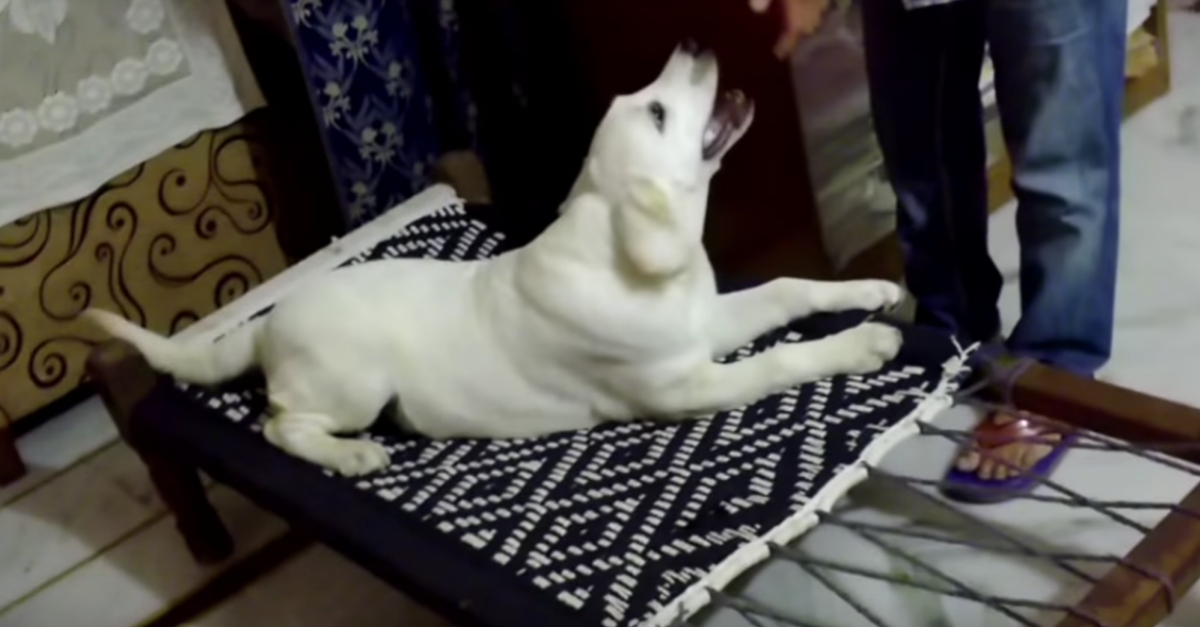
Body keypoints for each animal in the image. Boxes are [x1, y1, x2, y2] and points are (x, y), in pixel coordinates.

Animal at [87, 41, 904, 477]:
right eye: (658, 112)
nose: (694, 48)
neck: (638, 266)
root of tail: (263, 323)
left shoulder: (709, 324)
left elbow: (790, 286)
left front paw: (872, 288)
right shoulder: (686, 383)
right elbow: (781, 359)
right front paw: (864, 342)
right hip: (353, 384)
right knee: (279, 424)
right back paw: (351, 458)